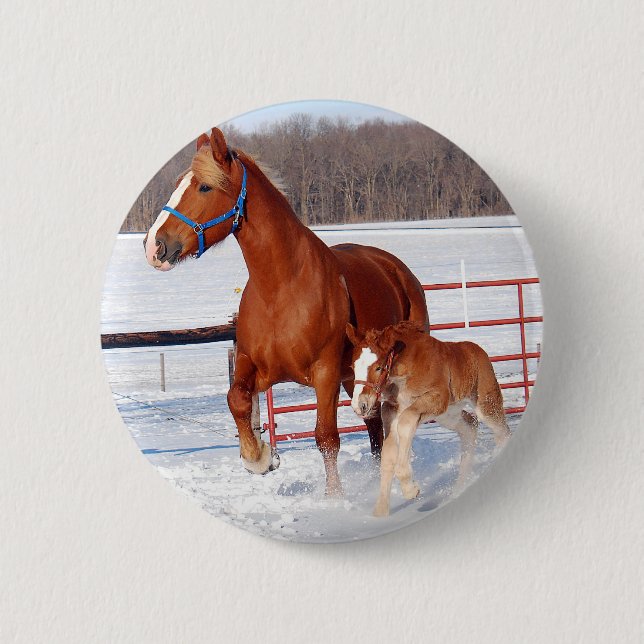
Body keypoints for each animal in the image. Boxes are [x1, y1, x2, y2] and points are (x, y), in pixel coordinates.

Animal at [143, 127, 429, 496]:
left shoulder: (325, 373)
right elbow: (236, 398)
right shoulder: (253, 365)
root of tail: (396, 268)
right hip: (359, 377)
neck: (282, 289)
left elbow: (326, 438)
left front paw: (334, 499)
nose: (153, 246)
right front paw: (260, 457)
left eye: (204, 186)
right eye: (179, 182)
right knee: (374, 424)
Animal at [346, 320, 511, 516]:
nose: (360, 405)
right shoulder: (391, 409)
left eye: (378, 367)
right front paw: (380, 511)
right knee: (470, 426)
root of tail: (479, 351)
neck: (404, 369)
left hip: (484, 404)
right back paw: (459, 489)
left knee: (502, 431)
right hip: (448, 415)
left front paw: (410, 489)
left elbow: (405, 424)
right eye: (353, 368)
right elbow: (388, 454)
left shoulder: (435, 397)